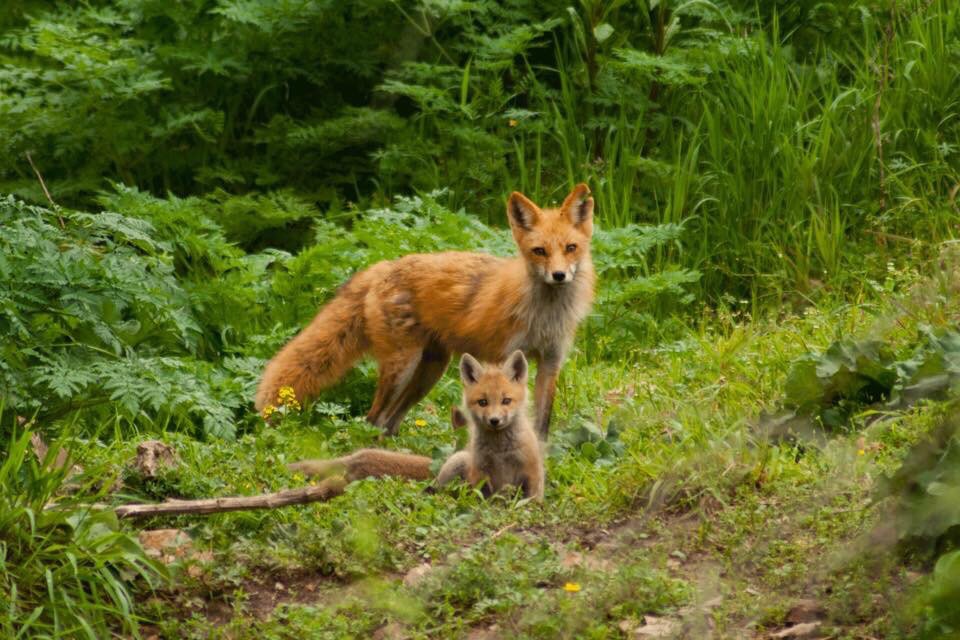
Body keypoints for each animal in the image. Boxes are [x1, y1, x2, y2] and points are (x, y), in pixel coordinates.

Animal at [255, 183, 595, 439]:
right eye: (539, 251)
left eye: (571, 248)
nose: (559, 275)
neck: (545, 316)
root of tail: (384, 265)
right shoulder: (503, 359)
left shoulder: (551, 362)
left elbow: (543, 422)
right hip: (402, 367)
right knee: (373, 418)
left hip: (429, 372)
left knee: (389, 423)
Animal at [288, 350, 545, 500]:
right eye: (482, 402)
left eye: (506, 401)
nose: (494, 420)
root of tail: (357, 458)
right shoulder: (480, 472)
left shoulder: (530, 471)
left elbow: (531, 495)